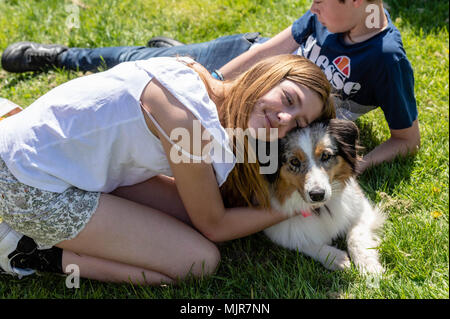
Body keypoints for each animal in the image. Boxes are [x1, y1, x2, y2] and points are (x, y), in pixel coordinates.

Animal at [266, 120, 384, 276]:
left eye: (326, 156)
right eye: (294, 161)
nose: (317, 194)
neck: (321, 207)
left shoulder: (362, 208)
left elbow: (355, 236)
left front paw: (369, 267)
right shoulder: (281, 231)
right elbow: (306, 243)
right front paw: (336, 258)